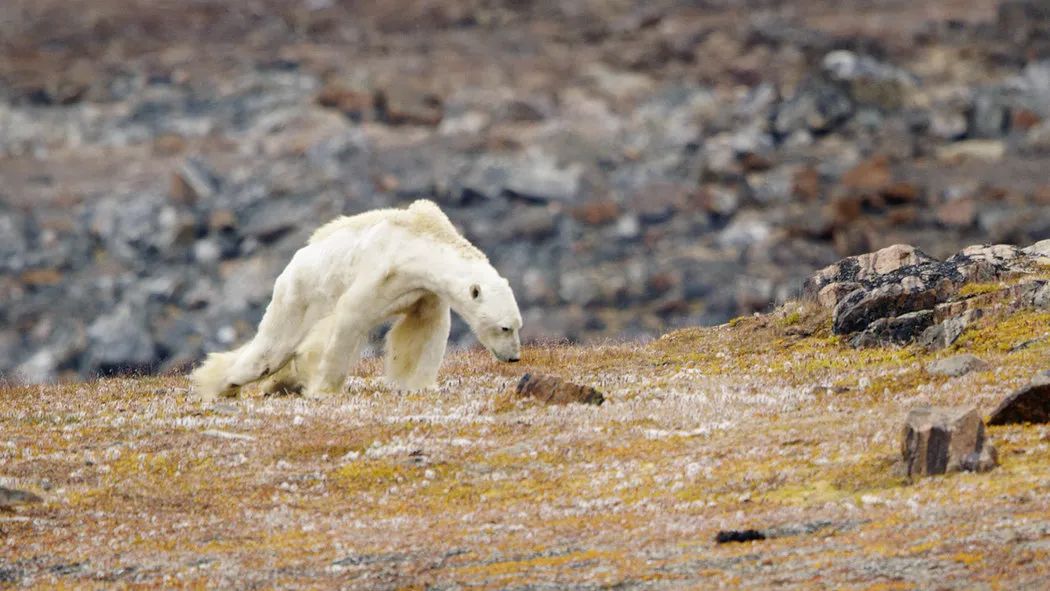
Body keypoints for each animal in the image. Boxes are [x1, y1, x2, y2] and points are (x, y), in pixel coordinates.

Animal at [190, 200, 525, 403]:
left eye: (517, 325)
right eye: (505, 328)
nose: (514, 358)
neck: (418, 244)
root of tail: (293, 262)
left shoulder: (422, 291)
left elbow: (424, 331)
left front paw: (420, 384)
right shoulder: (380, 271)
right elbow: (348, 319)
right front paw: (323, 388)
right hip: (298, 296)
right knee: (269, 351)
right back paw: (222, 384)